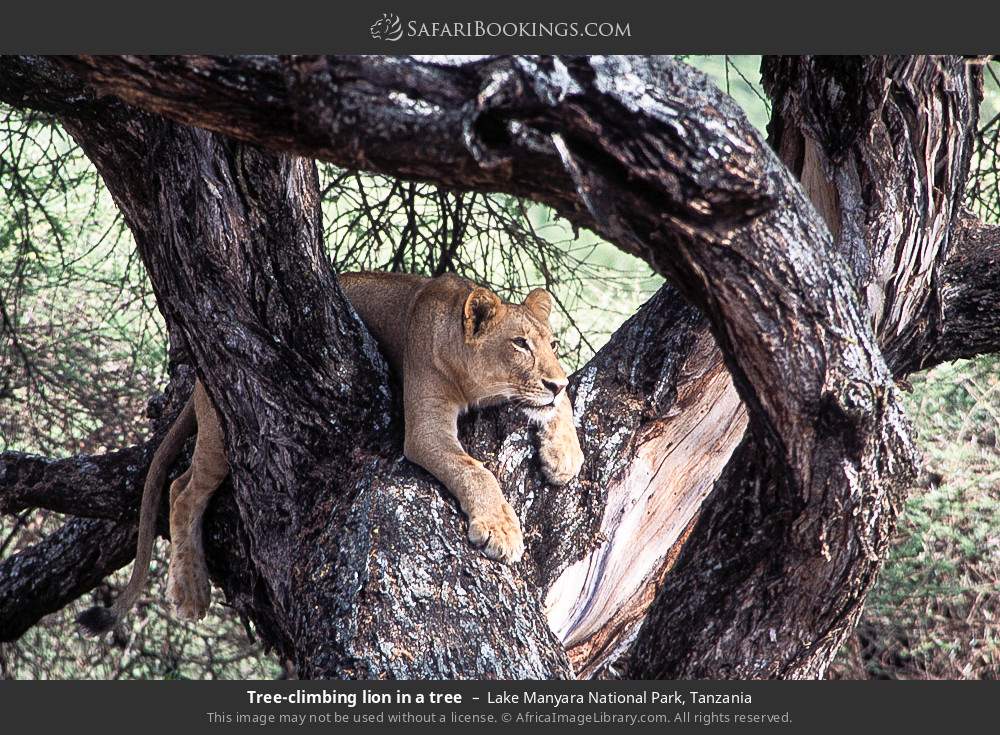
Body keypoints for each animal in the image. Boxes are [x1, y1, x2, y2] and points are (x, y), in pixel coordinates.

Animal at [78, 272, 584, 633]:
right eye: (519, 344)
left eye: (552, 344)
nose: (556, 380)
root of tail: (201, 372)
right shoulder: (424, 428)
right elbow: (474, 469)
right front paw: (501, 530)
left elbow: (556, 408)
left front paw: (564, 456)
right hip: (223, 429)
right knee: (183, 491)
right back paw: (189, 592)